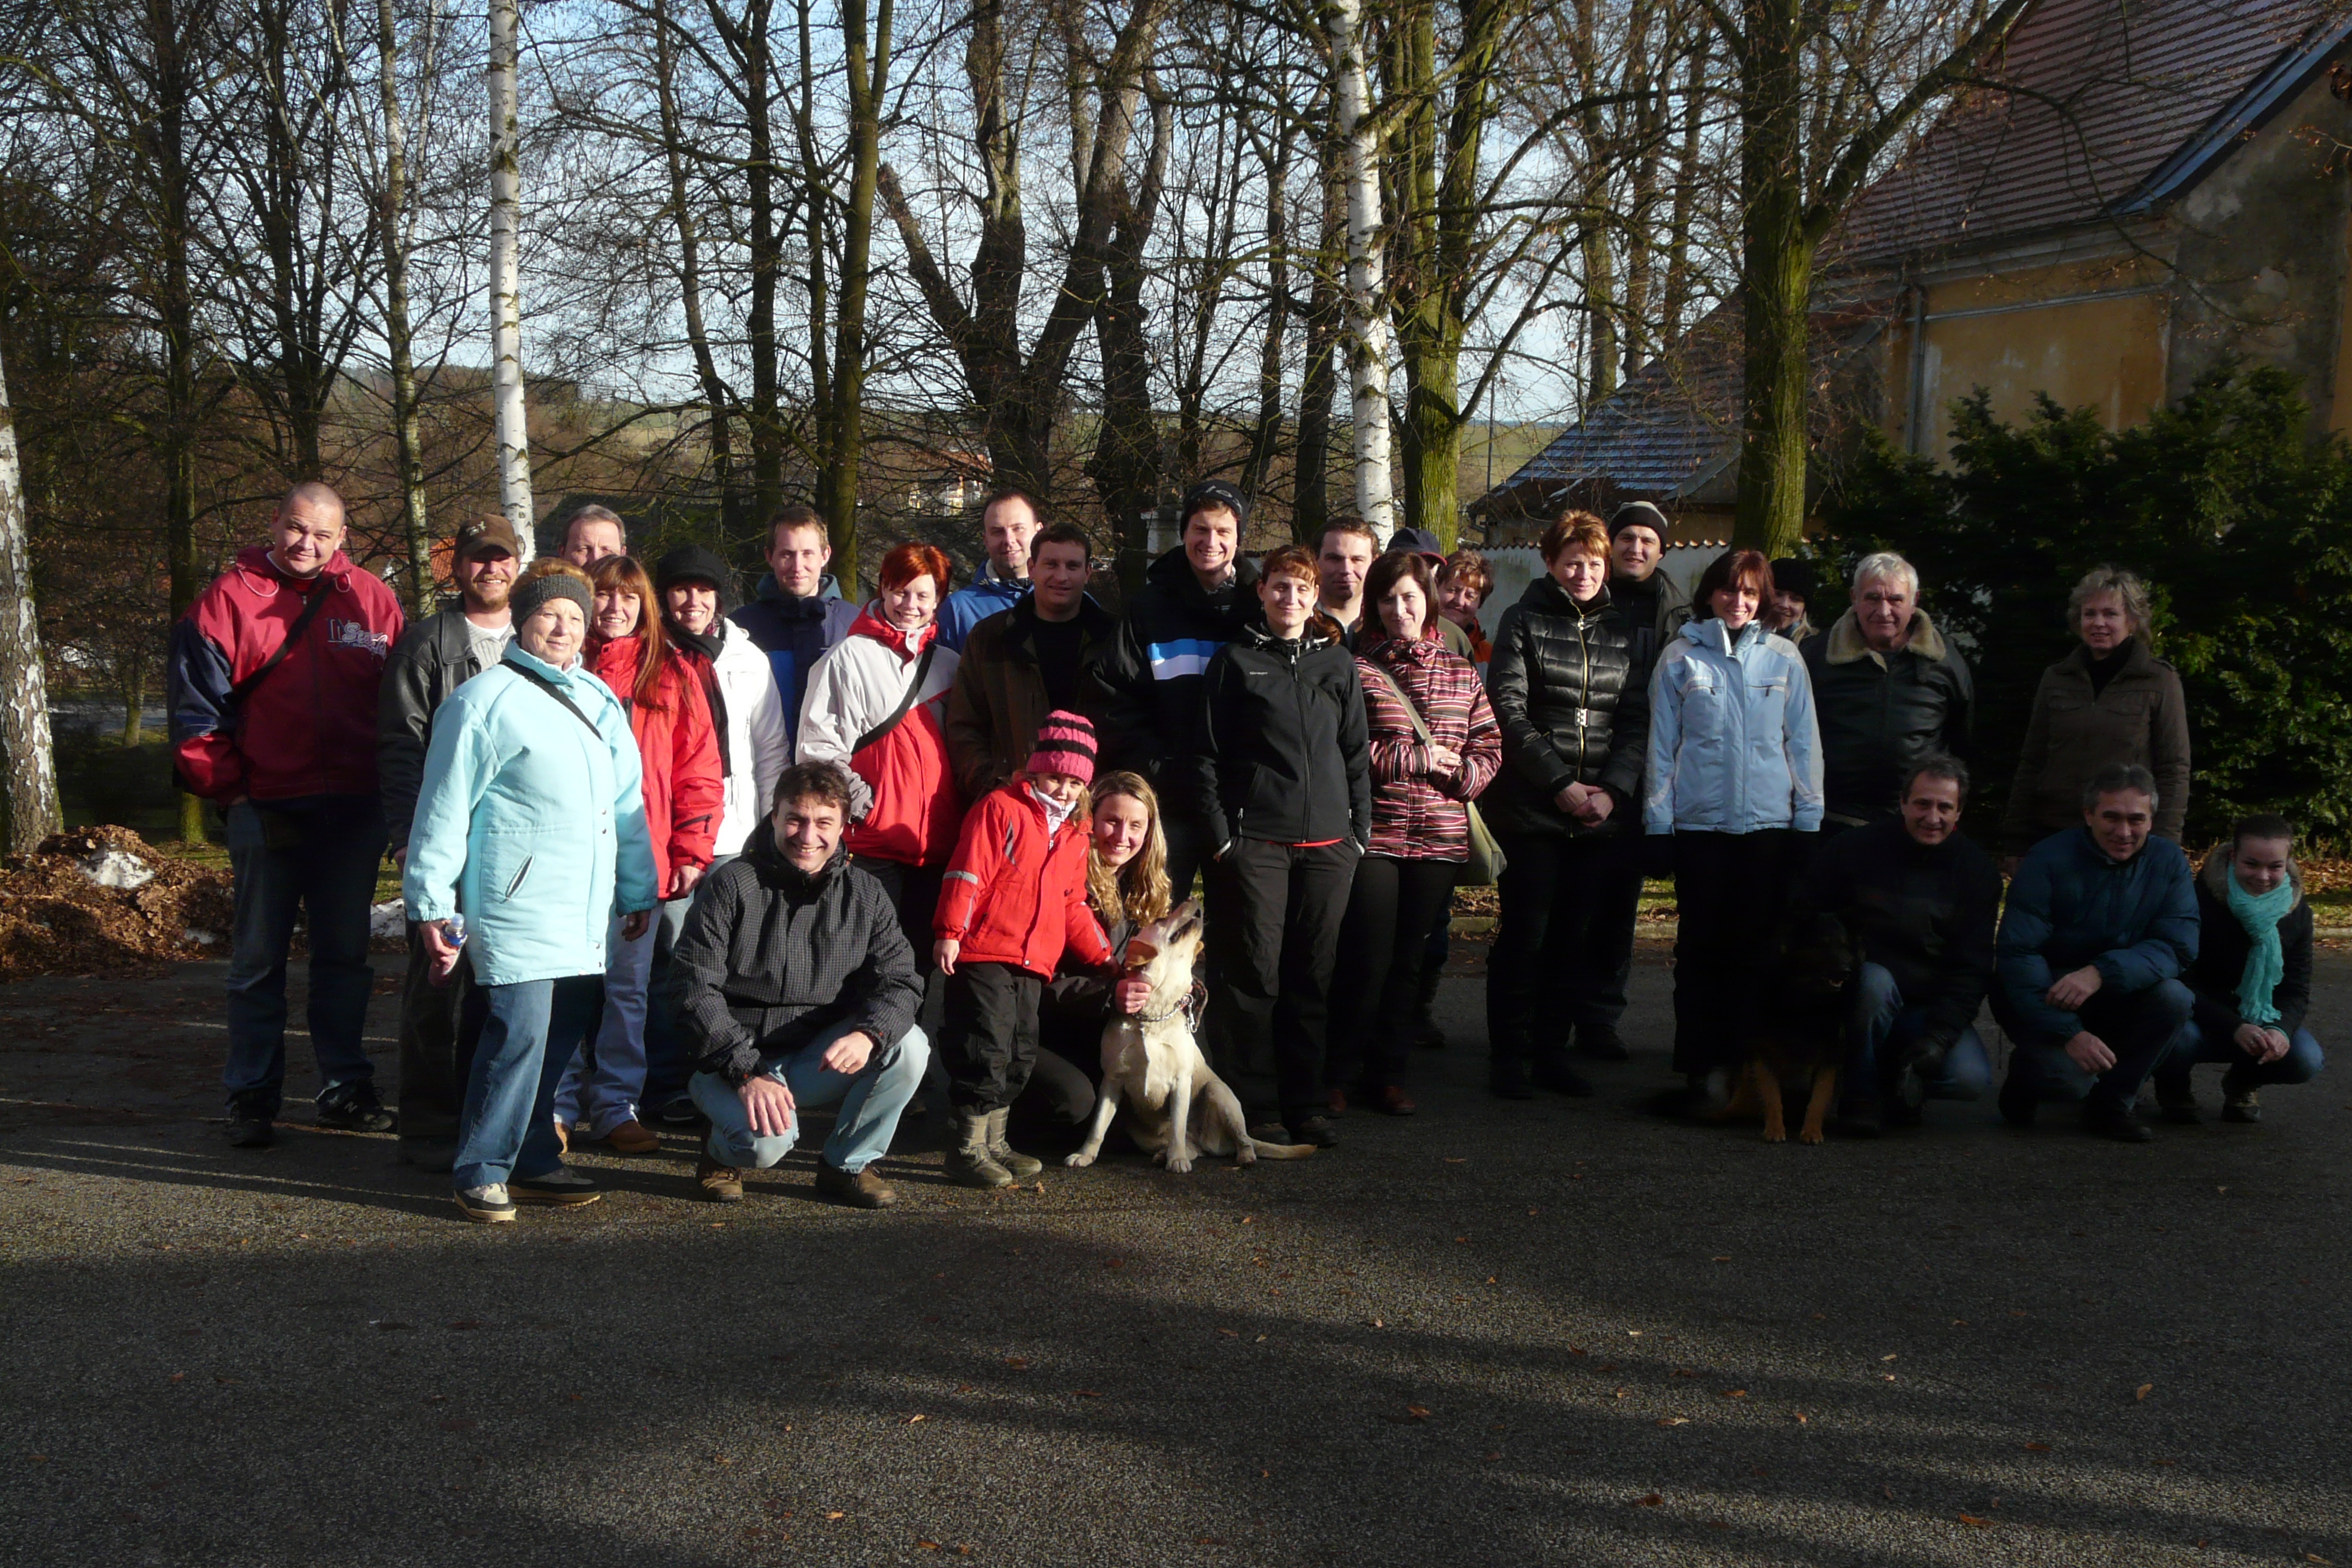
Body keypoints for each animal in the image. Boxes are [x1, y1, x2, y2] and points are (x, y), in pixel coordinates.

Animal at [1072, 902, 1326, 1170]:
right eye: (1160, 919)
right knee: (1194, 1148)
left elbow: (1177, 1126)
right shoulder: (1112, 1080)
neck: (1155, 1012)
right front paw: (1084, 1154)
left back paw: (1242, 1156)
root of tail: (1209, 1143)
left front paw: (1177, 1160)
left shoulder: (1181, 1081)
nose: (1194, 899)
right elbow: (1097, 1126)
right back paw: (1167, 1154)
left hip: (1219, 1093)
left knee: (1242, 1139)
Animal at [1712, 907, 1853, 1142]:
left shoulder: (1830, 1054)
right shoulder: (1762, 1052)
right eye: (1822, 944)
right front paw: (1775, 1129)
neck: (1804, 1001)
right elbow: (1771, 1095)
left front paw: (1812, 1131)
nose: (1846, 971)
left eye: (1843, 945)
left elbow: (1818, 1098)